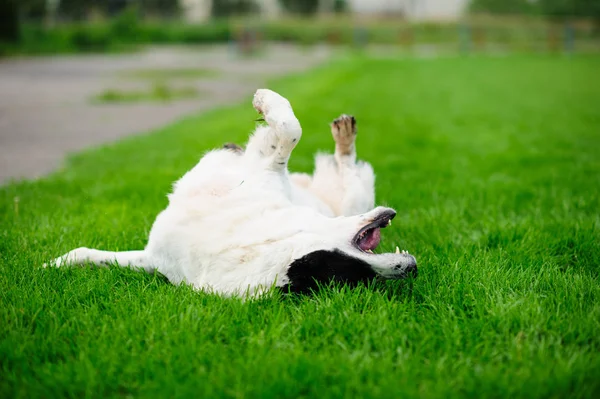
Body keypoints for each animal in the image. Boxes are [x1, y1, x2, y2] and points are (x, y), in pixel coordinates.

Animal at [48, 90, 418, 296]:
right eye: (354, 274)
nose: (411, 269)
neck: (259, 239)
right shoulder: (155, 256)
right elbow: (288, 130)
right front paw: (55, 264)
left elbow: (288, 130)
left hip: (350, 197)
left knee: (347, 168)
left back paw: (344, 137)